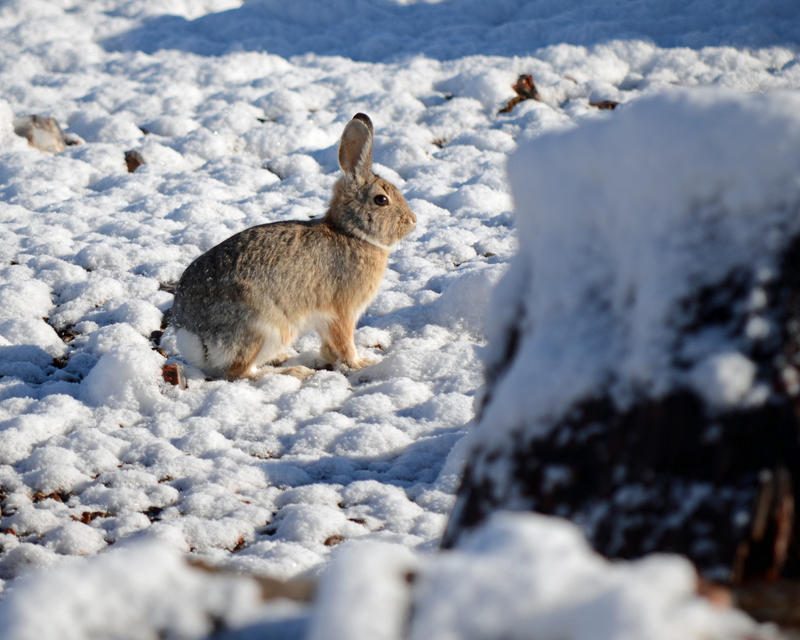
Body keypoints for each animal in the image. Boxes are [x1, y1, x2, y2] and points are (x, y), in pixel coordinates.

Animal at [170, 113, 416, 380]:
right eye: (381, 200)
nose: (412, 221)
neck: (351, 233)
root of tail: (193, 336)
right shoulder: (343, 311)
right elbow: (344, 342)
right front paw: (360, 363)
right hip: (265, 328)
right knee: (240, 371)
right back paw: (293, 370)